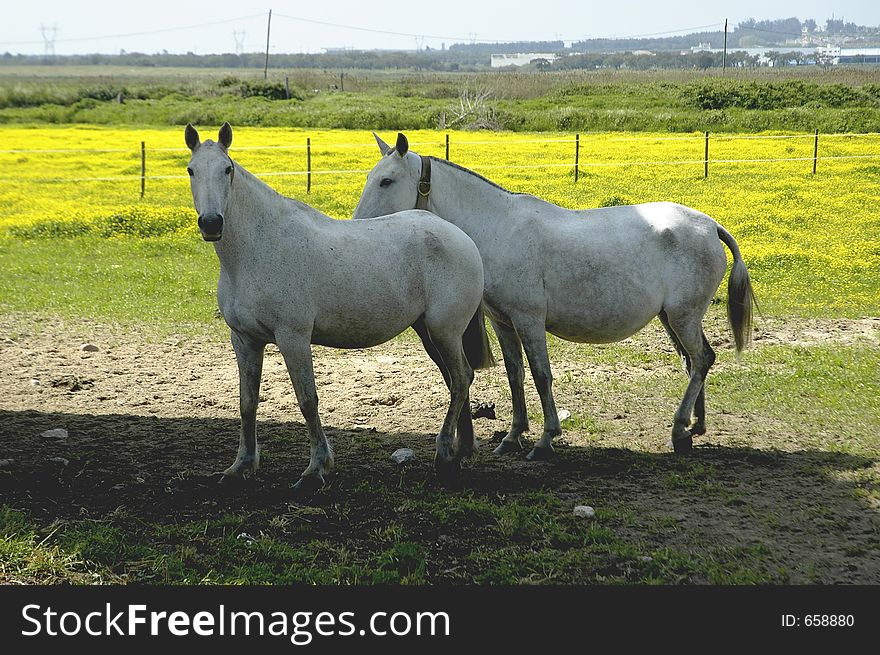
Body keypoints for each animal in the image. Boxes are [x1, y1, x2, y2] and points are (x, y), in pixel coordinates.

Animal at [184, 123, 496, 494]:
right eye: (191, 170)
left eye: (227, 170)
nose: (211, 223)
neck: (257, 248)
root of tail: (461, 237)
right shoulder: (244, 340)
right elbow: (247, 403)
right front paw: (240, 466)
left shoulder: (293, 338)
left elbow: (308, 400)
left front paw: (316, 469)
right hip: (430, 333)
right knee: (456, 380)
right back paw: (462, 450)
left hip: (444, 331)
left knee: (461, 378)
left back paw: (445, 454)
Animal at [350, 134, 756, 462]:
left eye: (386, 180)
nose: (356, 224)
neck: (498, 229)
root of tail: (710, 226)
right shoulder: (503, 322)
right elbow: (515, 374)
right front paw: (513, 436)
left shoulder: (529, 319)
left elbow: (541, 374)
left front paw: (545, 440)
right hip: (672, 319)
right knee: (695, 362)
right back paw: (693, 427)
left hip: (683, 317)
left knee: (701, 359)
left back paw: (679, 429)